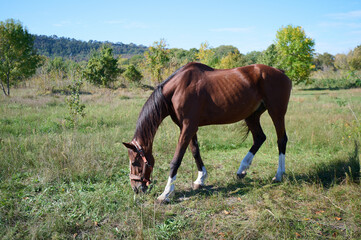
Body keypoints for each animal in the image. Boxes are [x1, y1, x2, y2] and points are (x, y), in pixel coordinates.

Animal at [122, 62, 292, 202]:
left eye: (135, 162)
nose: (136, 188)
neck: (178, 88)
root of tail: (280, 72)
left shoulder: (188, 126)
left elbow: (176, 159)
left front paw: (166, 193)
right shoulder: (188, 127)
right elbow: (195, 151)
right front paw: (200, 179)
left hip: (276, 112)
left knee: (281, 140)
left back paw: (278, 174)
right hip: (252, 116)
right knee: (259, 138)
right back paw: (242, 170)